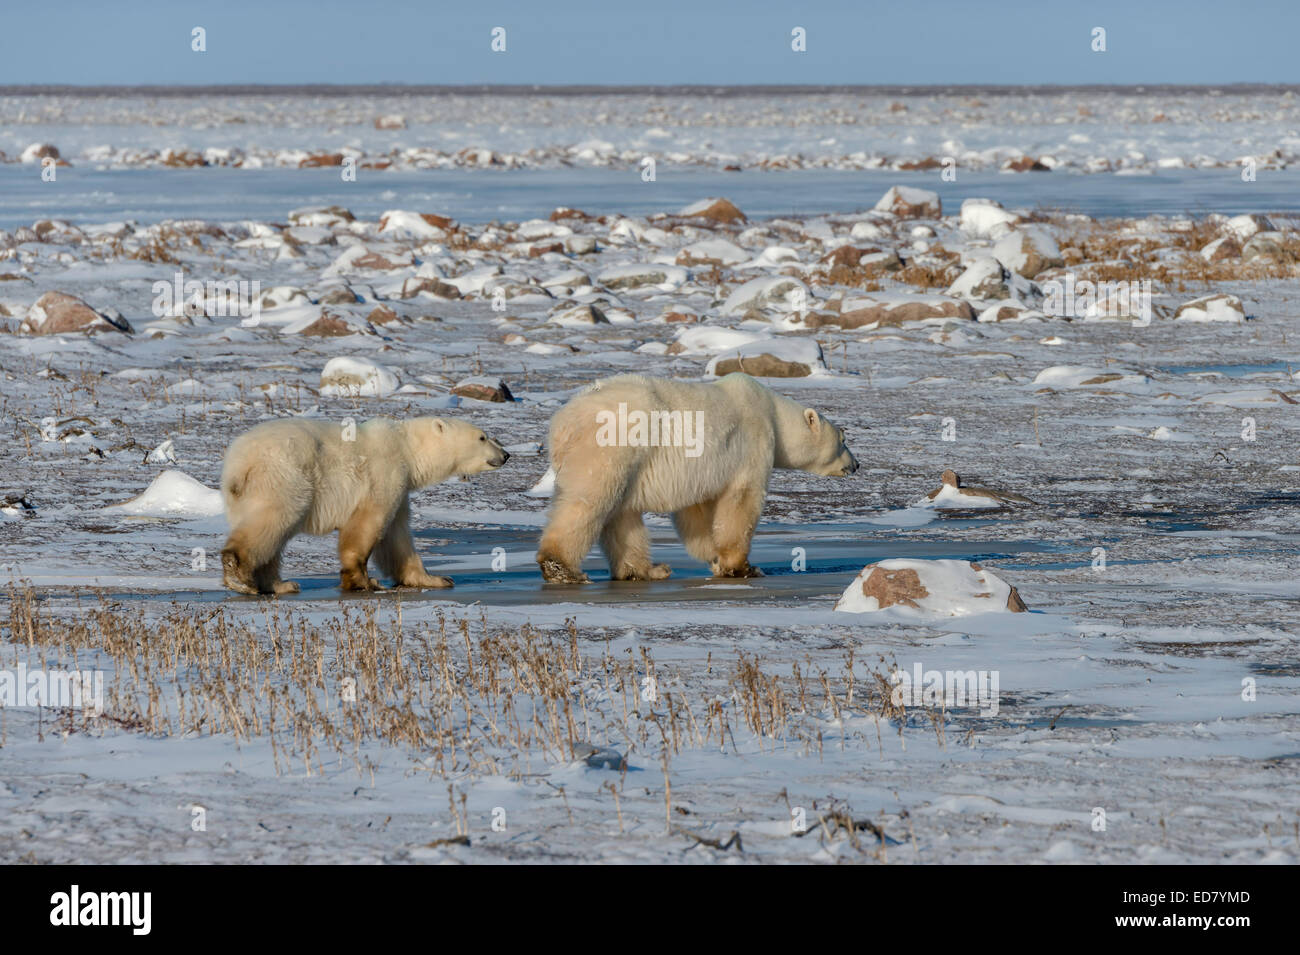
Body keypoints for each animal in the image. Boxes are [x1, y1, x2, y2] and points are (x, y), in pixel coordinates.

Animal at [223, 415, 506, 595]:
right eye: (483, 437)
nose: (506, 454)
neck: (407, 448)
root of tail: (239, 463)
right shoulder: (384, 473)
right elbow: (368, 523)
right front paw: (365, 581)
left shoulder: (400, 487)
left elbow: (397, 537)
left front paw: (437, 578)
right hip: (284, 477)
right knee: (273, 521)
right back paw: (239, 573)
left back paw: (280, 585)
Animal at [533, 374, 857, 582]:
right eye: (843, 440)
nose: (855, 465)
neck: (773, 415)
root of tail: (562, 425)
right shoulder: (753, 446)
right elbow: (741, 503)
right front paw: (743, 567)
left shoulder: (701, 470)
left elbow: (697, 513)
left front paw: (714, 557)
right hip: (612, 446)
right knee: (589, 501)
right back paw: (563, 568)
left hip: (628, 461)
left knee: (623, 515)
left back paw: (647, 570)